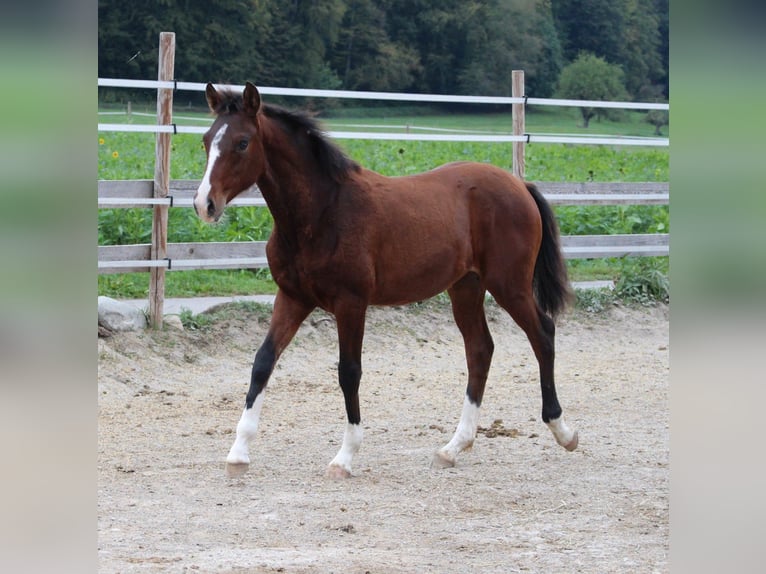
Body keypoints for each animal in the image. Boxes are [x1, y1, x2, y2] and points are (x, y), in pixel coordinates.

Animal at [195, 82, 580, 482]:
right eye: (206, 140)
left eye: (242, 143)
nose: (205, 204)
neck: (321, 213)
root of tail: (519, 184)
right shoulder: (292, 297)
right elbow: (263, 362)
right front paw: (238, 454)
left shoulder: (351, 303)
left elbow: (349, 372)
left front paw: (345, 457)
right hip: (466, 287)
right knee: (480, 350)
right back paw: (453, 447)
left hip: (510, 285)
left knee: (542, 333)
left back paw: (563, 431)